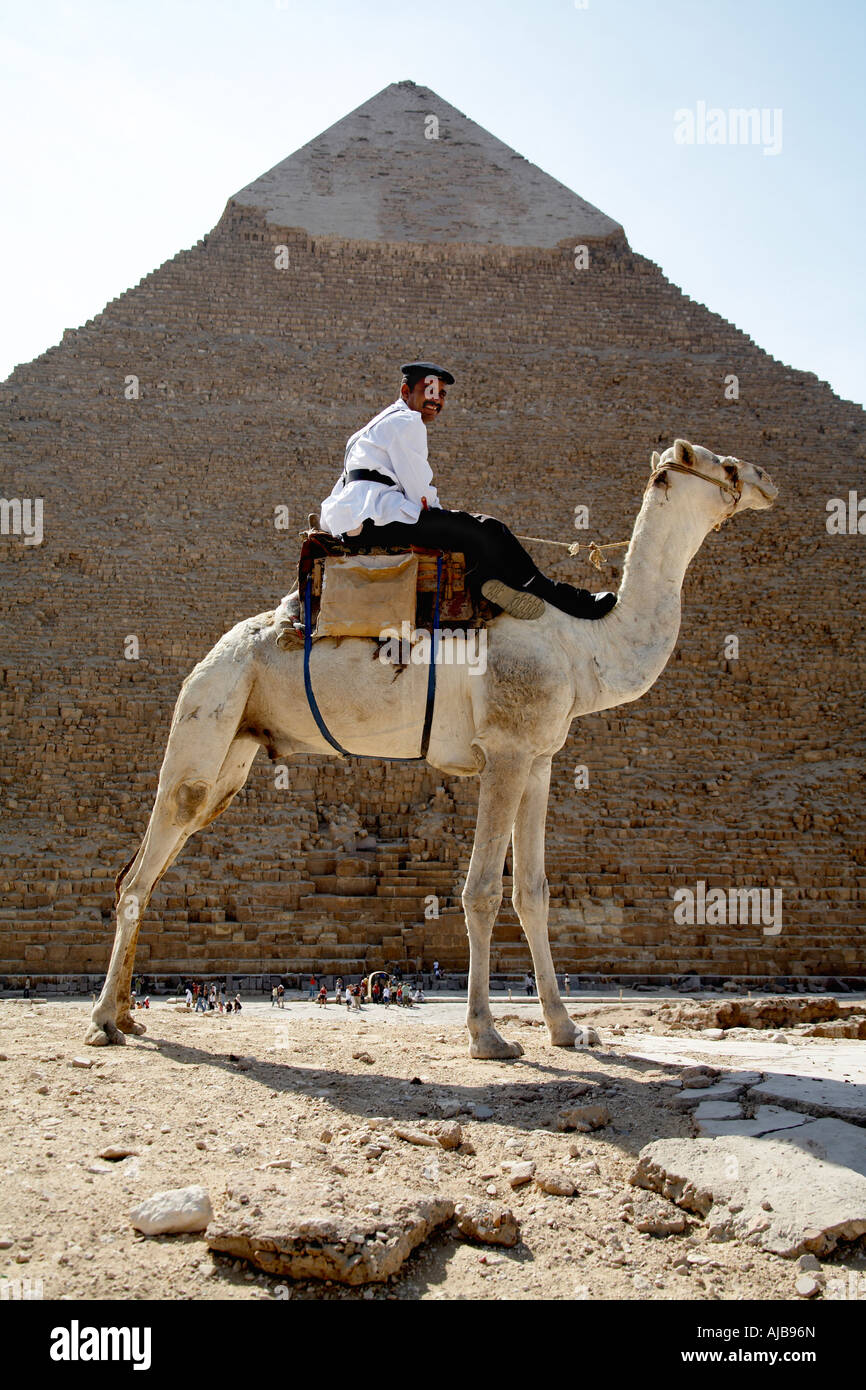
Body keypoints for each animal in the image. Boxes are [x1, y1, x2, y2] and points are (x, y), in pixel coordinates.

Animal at [86, 439, 778, 1056]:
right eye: (725, 465)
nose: (768, 479)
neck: (584, 646)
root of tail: (210, 655)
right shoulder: (504, 752)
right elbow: (481, 892)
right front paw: (489, 1037)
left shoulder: (540, 759)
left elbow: (533, 893)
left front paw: (567, 1029)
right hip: (208, 716)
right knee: (138, 872)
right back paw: (101, 1022)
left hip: (234, 747)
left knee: (144, 869)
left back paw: (128, 1015)